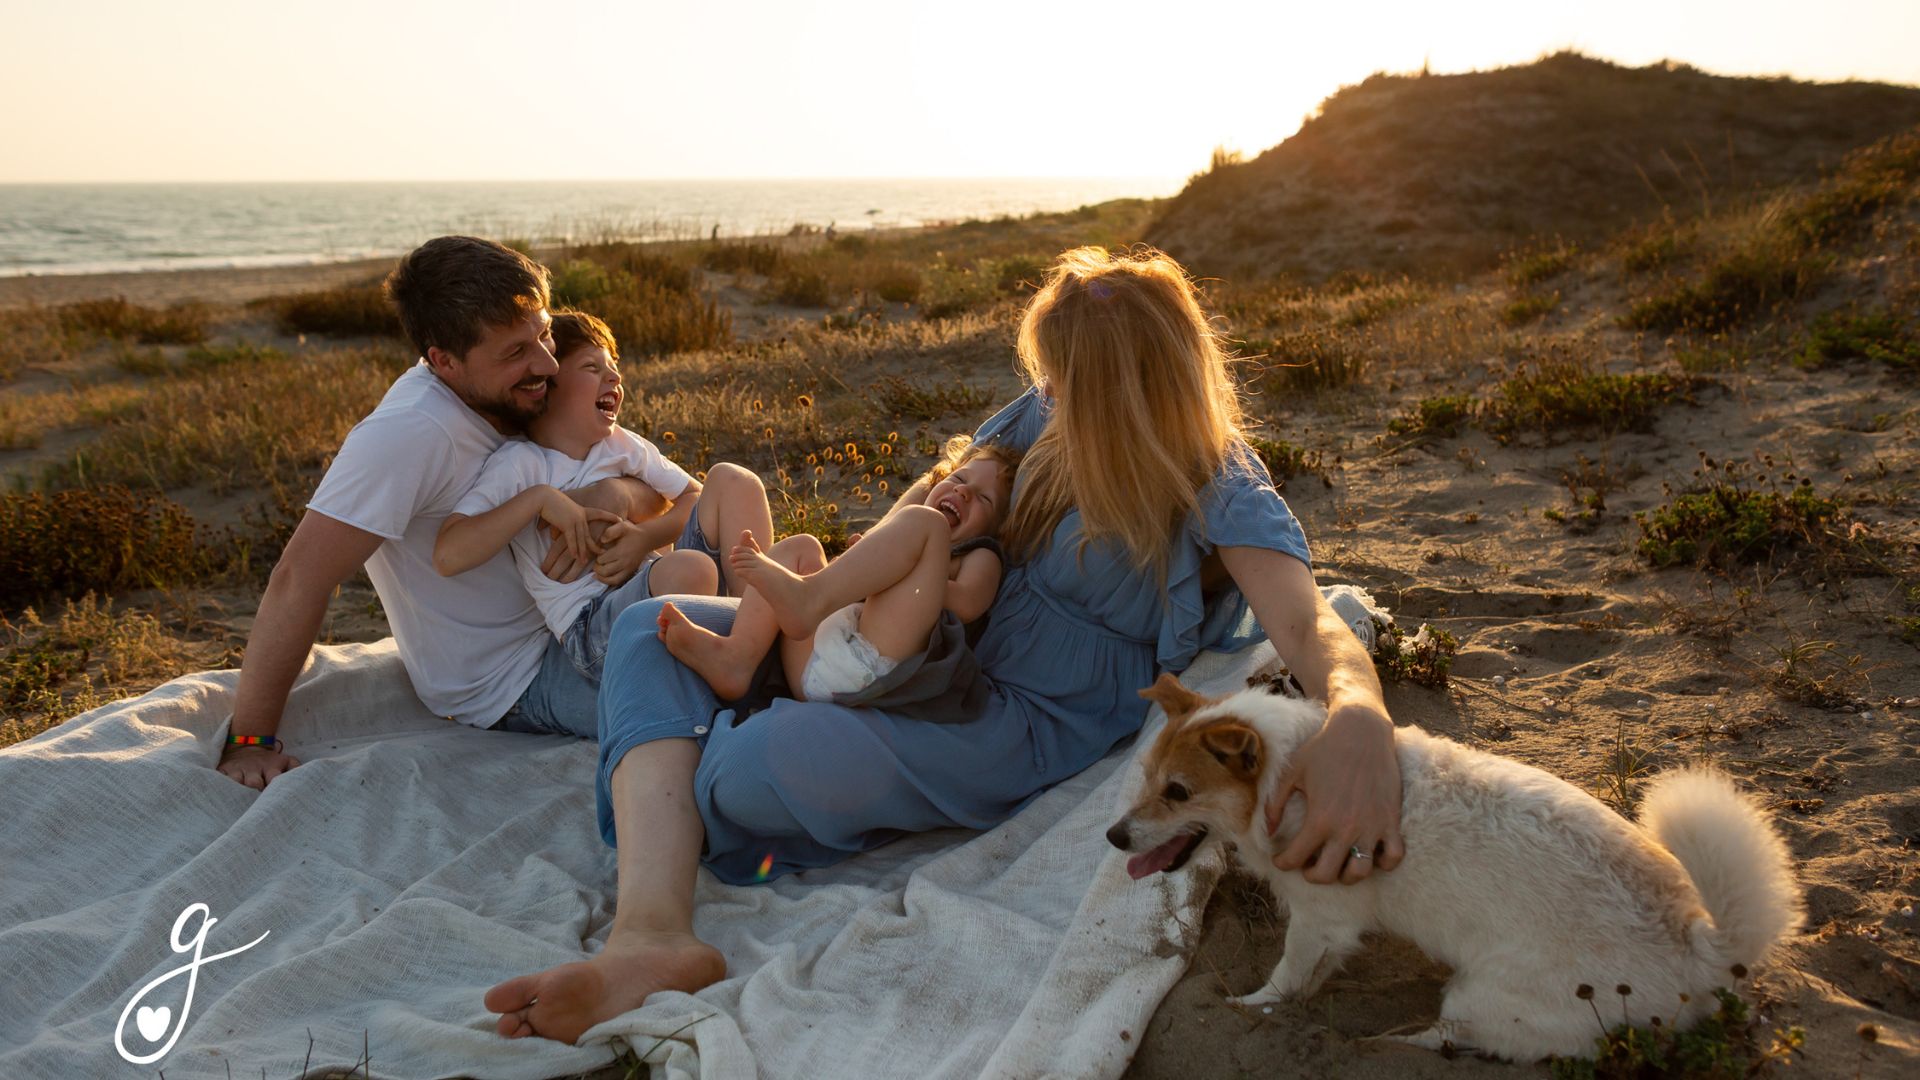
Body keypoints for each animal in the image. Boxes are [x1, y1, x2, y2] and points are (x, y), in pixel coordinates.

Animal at [1105, 676, 1804, 1053]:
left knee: (1455, 1036)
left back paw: (1393, 1041)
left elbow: (1282, 979)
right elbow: (1312, 976)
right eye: (1147, 778)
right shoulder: (1330, 931)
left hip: (1485, 996)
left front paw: (1253, 1007)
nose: (1114, 836)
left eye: (1178, 792)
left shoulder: (1319, 919)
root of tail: (1702, 950)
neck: (1292, 775)